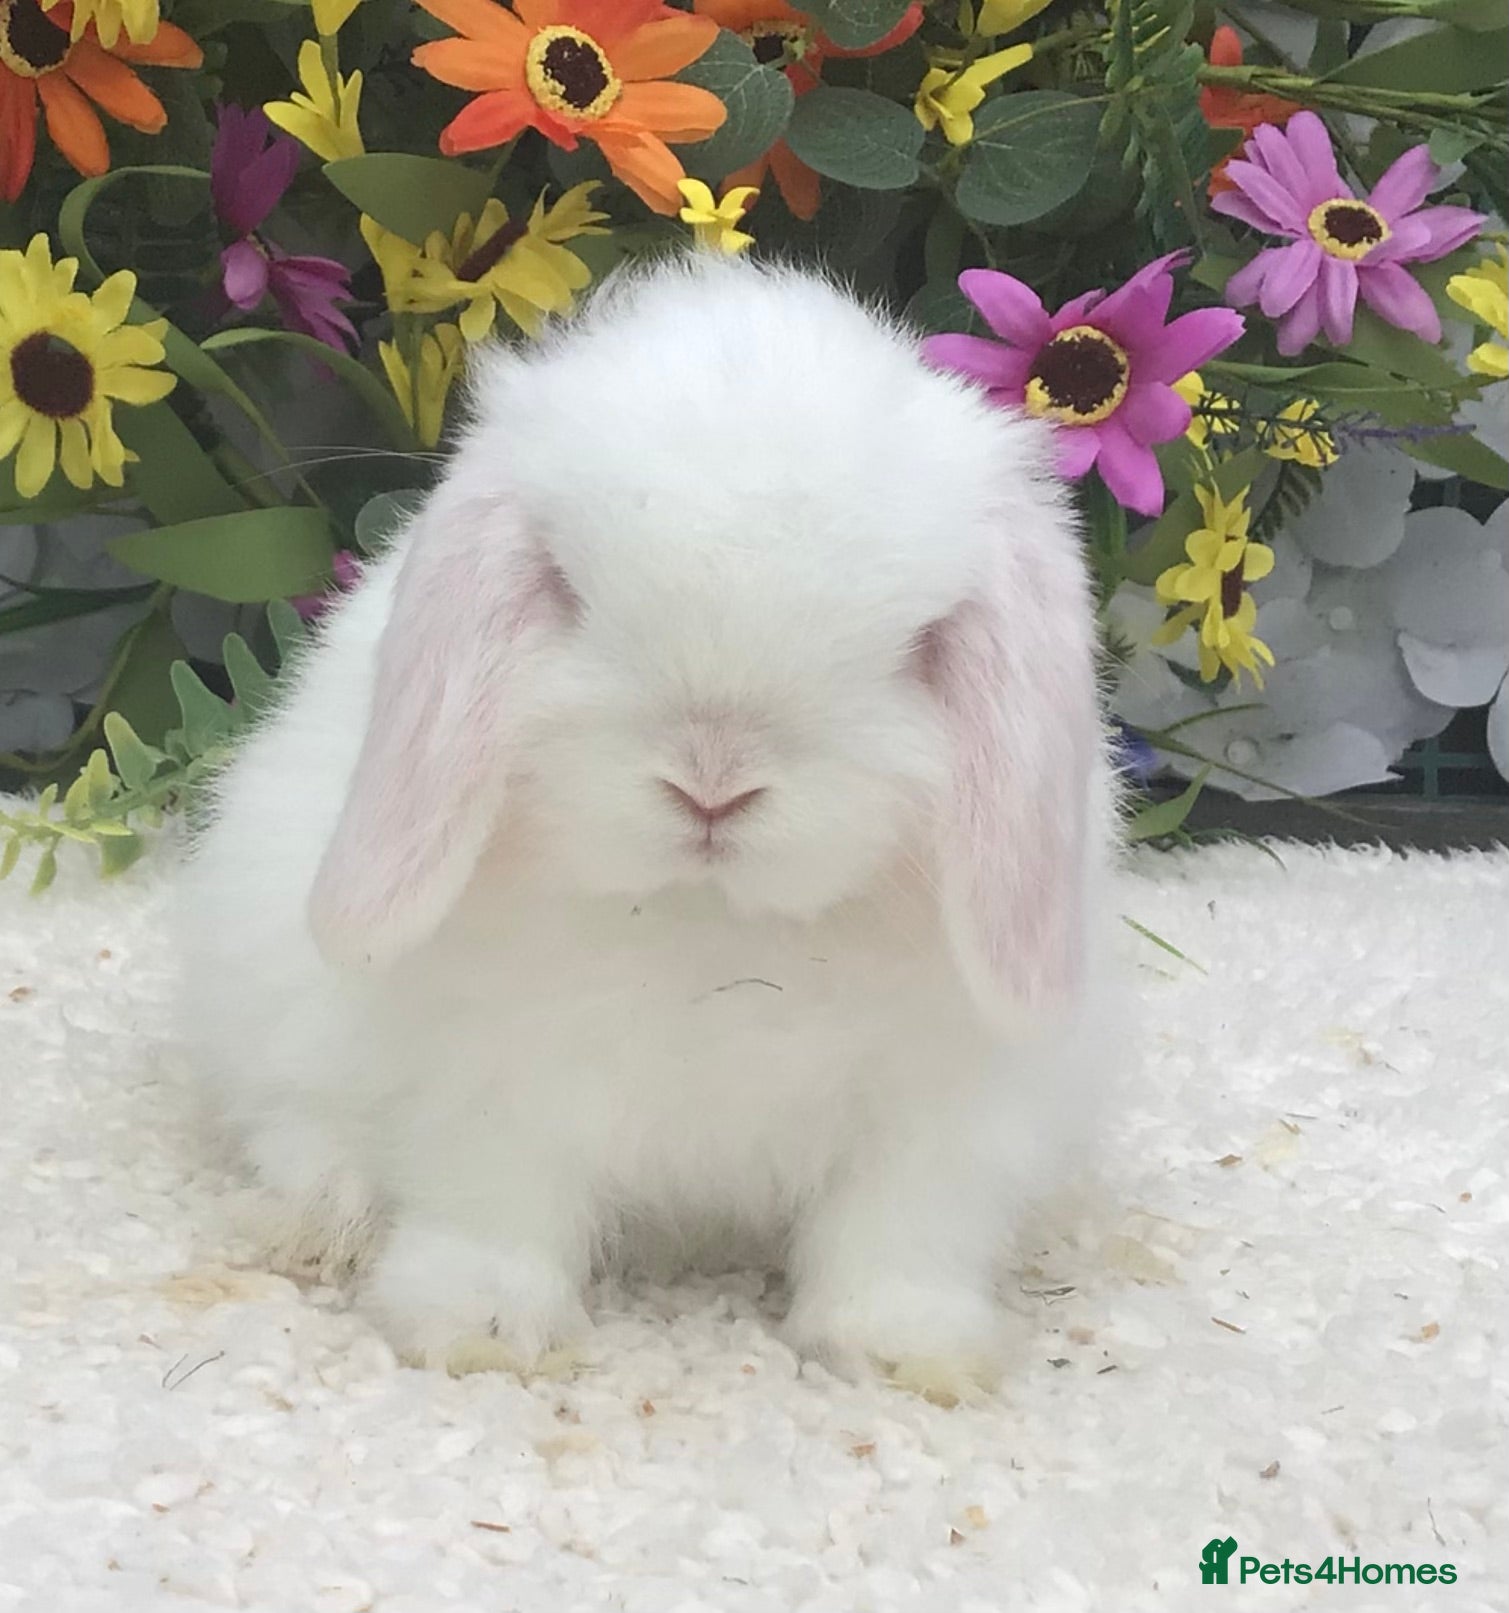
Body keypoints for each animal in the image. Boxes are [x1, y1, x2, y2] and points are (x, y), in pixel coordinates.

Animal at [180, 256, 1122, 1398]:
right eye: (565, 593)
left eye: (920, 644)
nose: (711, 782)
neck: (712, 925)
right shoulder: (492, 1075)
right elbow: (491, 1200)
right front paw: (480, 1329)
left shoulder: (940, 1111)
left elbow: (901, 1230)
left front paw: (904, 1352)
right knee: (296, 1125)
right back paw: (321, 1222)